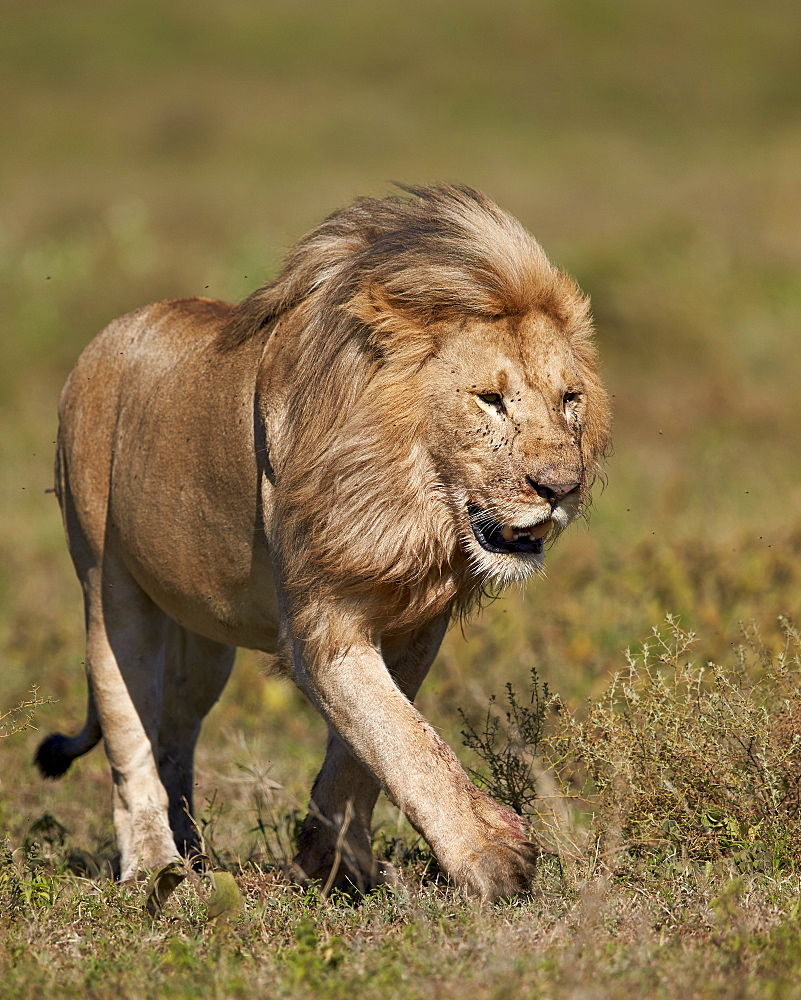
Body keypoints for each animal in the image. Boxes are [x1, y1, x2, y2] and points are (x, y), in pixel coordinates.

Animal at [36, 184, 612, 904]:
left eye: (570, 399)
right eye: (489, 400)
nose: (560, 488)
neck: (411, 504)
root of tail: (109, 335)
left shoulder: (416, 626)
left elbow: (366, 747)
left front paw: (335, 860)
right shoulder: (320, 620)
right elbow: (401, 737)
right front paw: (492, 858)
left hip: (203, 640)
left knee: (175, 731)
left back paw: (193, 851)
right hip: (109, 588)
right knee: (128, 732)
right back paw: (156, 868)